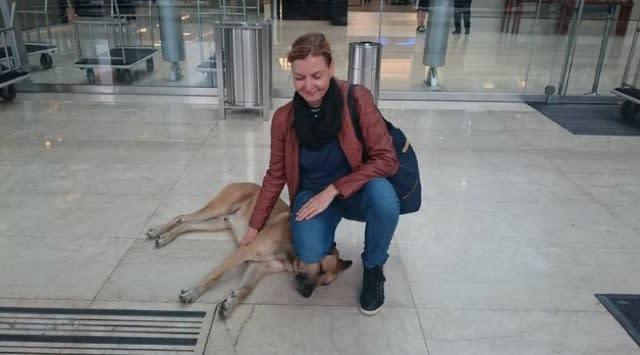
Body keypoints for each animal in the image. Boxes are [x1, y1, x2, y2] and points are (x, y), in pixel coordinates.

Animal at [146, 184, 352, 320]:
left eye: (324, 284)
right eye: (320, 268)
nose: (307, 295)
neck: (292, 250)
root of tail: (247, 182)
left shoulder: (258, 266)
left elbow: (246, 288)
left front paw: (231, 303)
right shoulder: (244, 252)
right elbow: (214, 275)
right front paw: (193, 292)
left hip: (219, 222)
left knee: (187, 225)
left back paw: (166, 237)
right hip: (216, 209)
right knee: (182, 217)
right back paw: (158, 231)